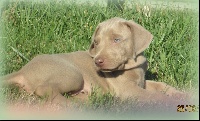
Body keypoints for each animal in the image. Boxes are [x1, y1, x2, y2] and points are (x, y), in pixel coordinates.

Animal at [1, 16, 189, 107]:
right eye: (96, 42)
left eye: (116, 40)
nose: (97, 62)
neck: (132, 65)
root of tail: (23, 70)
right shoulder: (127, 90)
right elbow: (152, 95)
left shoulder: (141, 82)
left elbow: (161, 85)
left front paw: (181, 94)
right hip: (72, 74)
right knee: (44, 90)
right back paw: (72, 105)